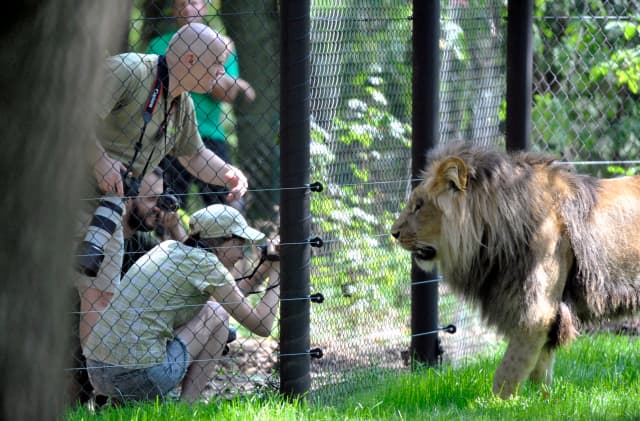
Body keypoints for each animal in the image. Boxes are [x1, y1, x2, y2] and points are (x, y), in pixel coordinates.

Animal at [390, 141, 640, 398]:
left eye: (419, 206)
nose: (393, 232)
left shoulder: (536, 312)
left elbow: (509, 369)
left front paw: (497, 402)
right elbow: (540, 367)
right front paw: (542, 400)